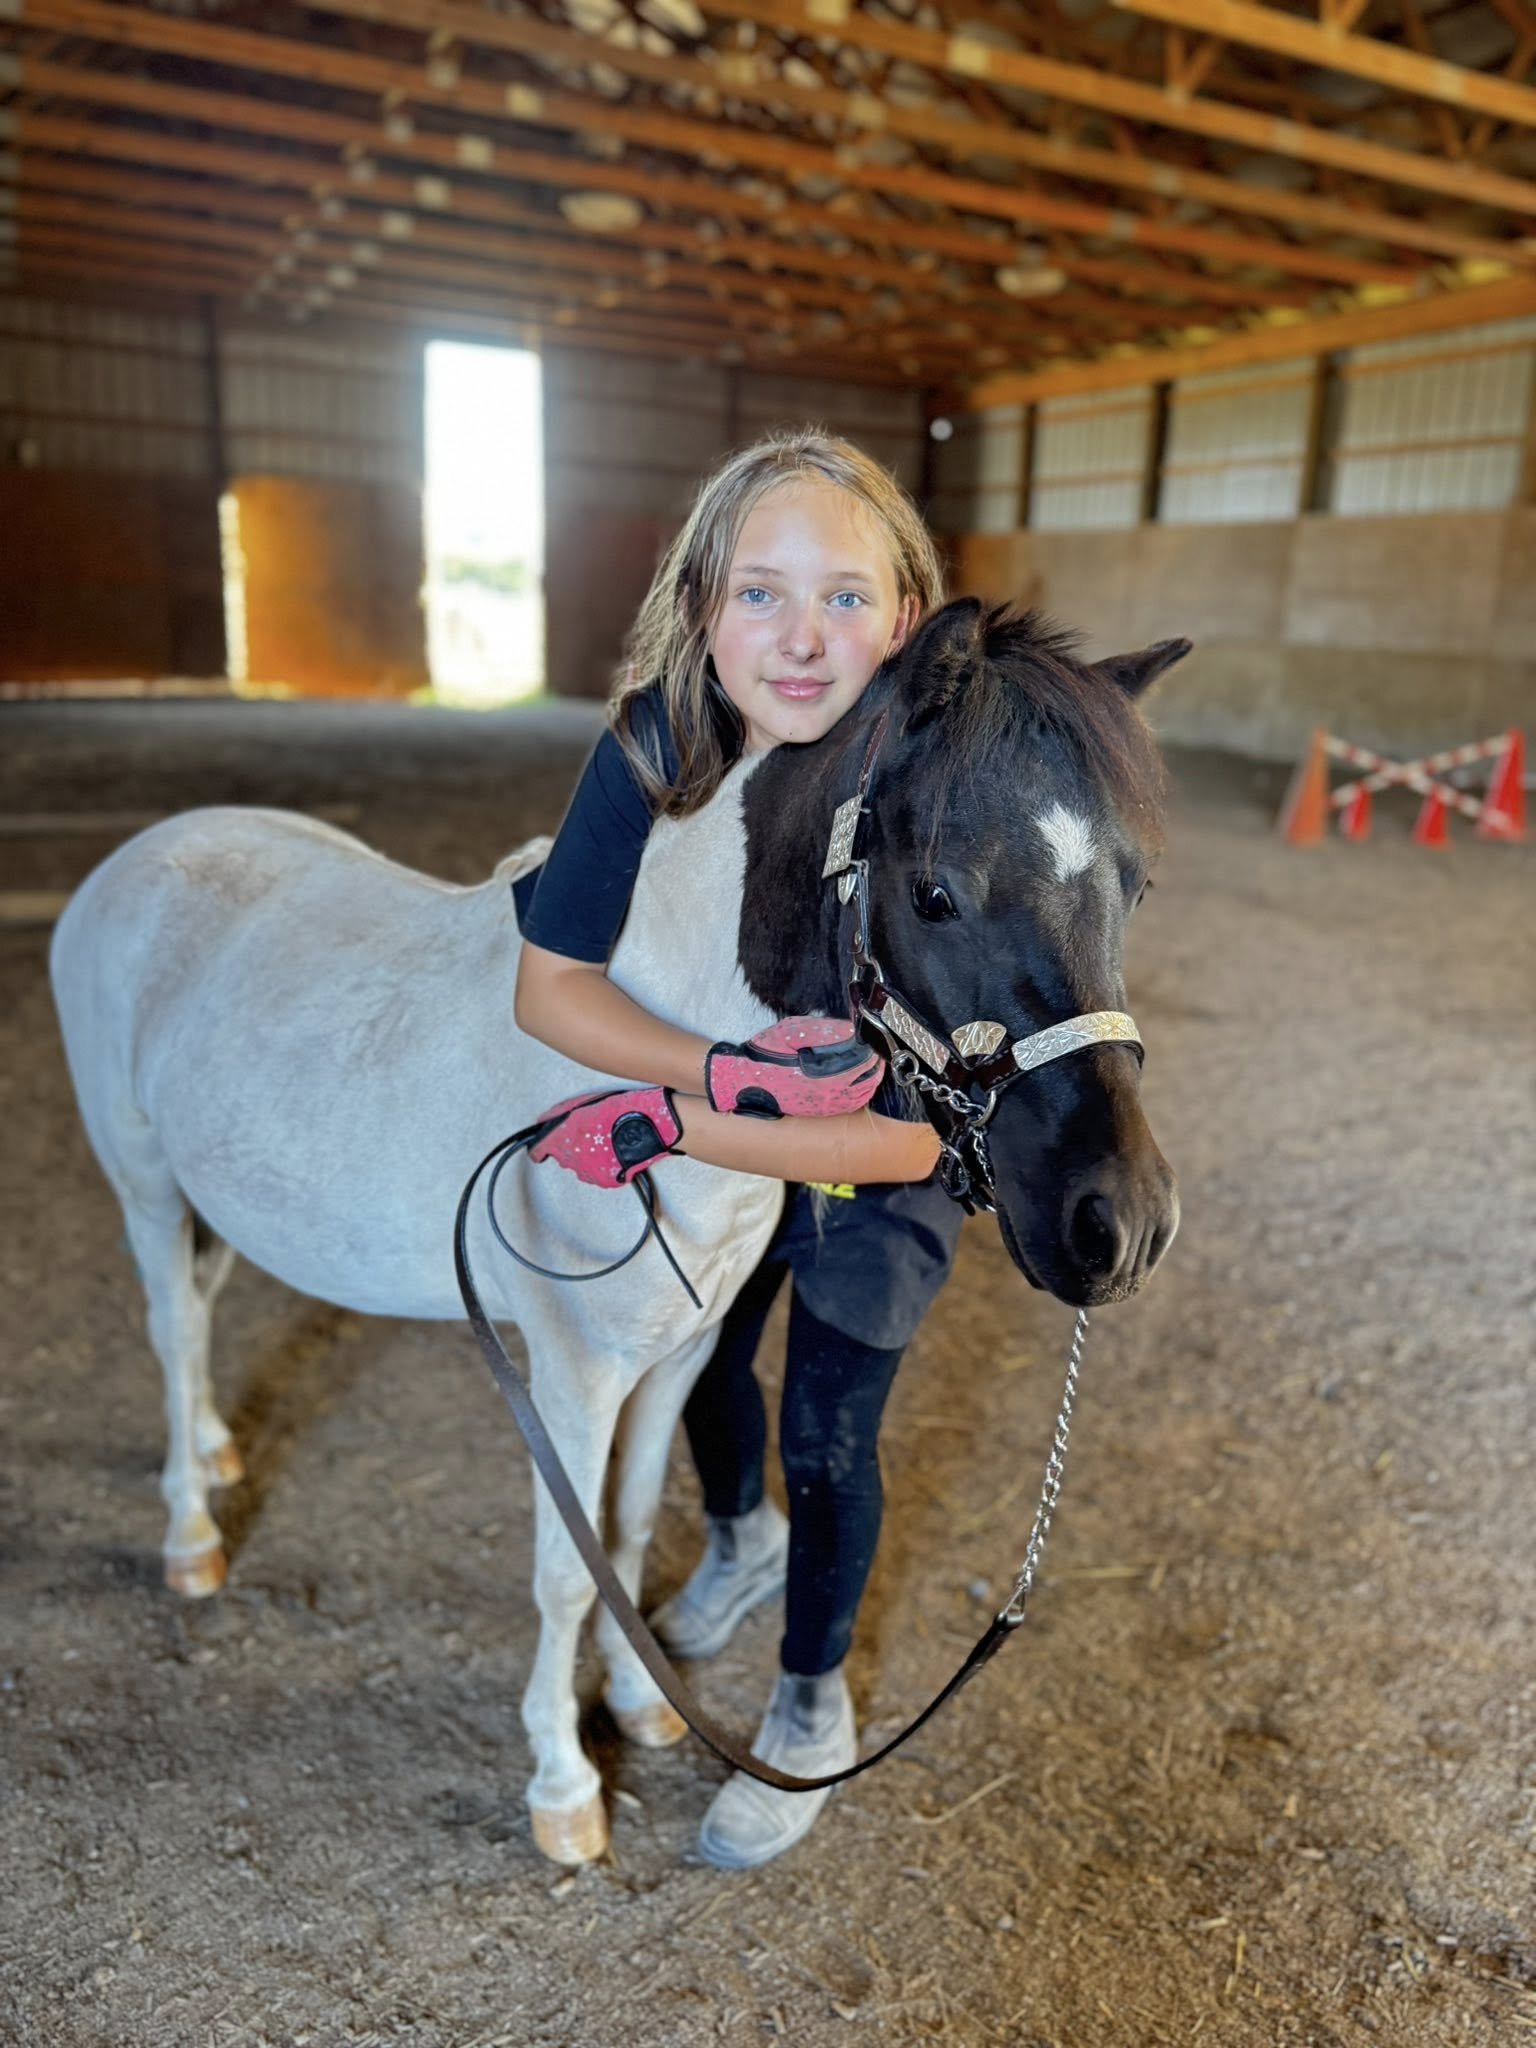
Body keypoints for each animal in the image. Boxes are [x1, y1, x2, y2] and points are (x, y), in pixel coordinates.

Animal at [49, 598, 1185, 1865]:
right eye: (937, 891)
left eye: (1135, 887)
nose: (1121, 1222)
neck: (646, 1089)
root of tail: (136, 857)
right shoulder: (573, 1375)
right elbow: (566, 1566)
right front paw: (562, 1785)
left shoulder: (677, 1355)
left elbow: (631, 1531)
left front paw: (642, 1706)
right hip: (143, 1181)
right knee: (171, 1331)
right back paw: (191, 1535)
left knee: (199, 1317)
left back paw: (215, 1450)